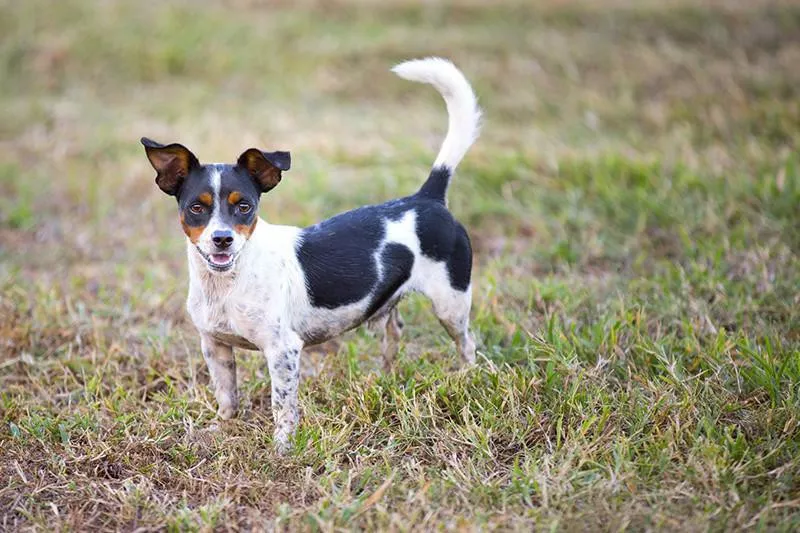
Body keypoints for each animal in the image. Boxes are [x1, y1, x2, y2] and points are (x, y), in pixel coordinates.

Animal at [141, 57, 482, 448]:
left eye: (244, 206)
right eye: (196, 208)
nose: (222, 239)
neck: (227, 283)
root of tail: (426, 198)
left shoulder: (283, 350)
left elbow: (282, 406)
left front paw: (281, 448)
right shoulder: (214, 345)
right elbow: (227, 395)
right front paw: (222, 428)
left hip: (451, 304)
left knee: (467, 344)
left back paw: (466, 378)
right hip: (388, 306)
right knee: (394, 332)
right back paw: (385, 377)